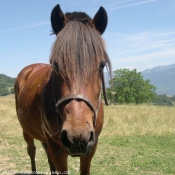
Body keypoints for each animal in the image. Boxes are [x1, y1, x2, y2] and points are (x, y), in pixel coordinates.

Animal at [14, 4, 111, 175]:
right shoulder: (57, 148)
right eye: (56, 65)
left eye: (101, 66)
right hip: (27, 131)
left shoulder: (91, 148)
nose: (77, 137)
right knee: (31, 151)